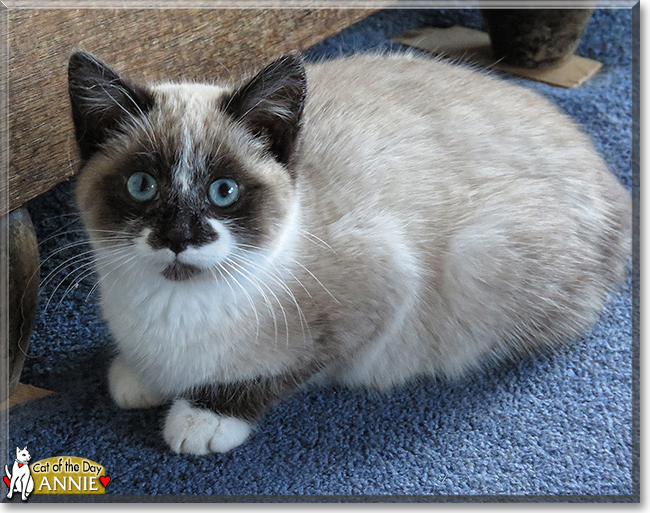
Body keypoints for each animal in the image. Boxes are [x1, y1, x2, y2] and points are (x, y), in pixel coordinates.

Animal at [67, 50, 628, 454]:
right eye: (142, 185)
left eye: (223, 192)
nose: (179, 238)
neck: (170, 314)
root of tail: (614, 182)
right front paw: (139, 378)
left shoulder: (380, 292)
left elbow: (277, 373)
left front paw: (202, 418)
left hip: (479, 256)